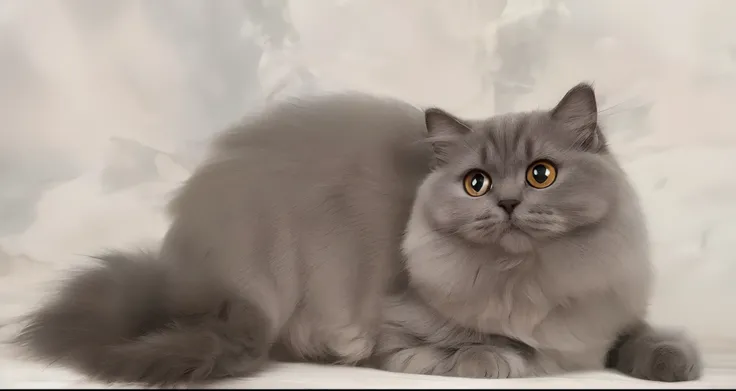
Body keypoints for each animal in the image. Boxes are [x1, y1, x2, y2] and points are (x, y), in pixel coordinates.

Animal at [12, 82, 700, 386]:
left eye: (542, 174)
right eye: (476, 183)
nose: (506, 203)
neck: (528, 280)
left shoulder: (606, 315)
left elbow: (640, 337)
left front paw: (674, 361)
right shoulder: (393, 336)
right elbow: (490, 350)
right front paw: (505, 355)